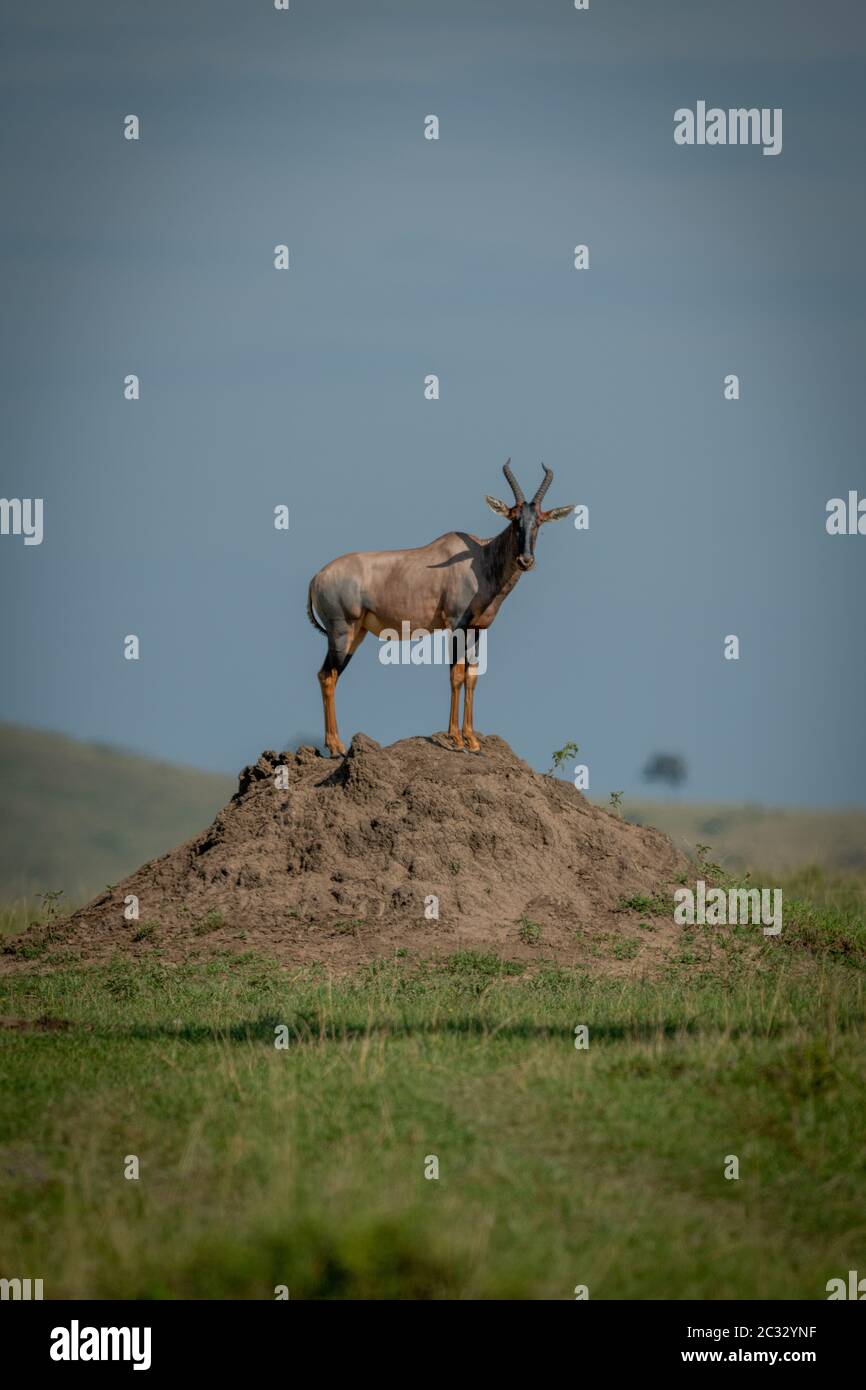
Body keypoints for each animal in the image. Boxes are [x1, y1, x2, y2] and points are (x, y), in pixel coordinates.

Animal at [307, 461, 575, 756]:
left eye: (538, 520)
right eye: (513, 518)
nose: (525, 560)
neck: (479, 559)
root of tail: (318, 576)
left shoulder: (477, 629)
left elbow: (472, 675)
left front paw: (472, 740)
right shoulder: (456, 625)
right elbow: (455, 674)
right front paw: (455, 739)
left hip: (357, 634)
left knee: (330, 675)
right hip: (341, 630)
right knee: (327, 675)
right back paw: (336, 746)